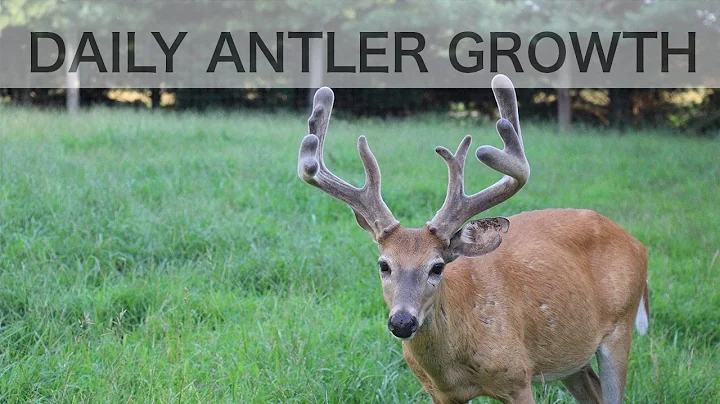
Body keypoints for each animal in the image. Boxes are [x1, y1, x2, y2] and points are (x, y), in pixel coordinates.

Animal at [297, 74, 649, 404]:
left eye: (437, 267)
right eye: (384, 264)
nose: (402, 322)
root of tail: (637, 244)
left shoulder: (518, 377)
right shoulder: (440, 393)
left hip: (620, 328)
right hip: (571, 358)